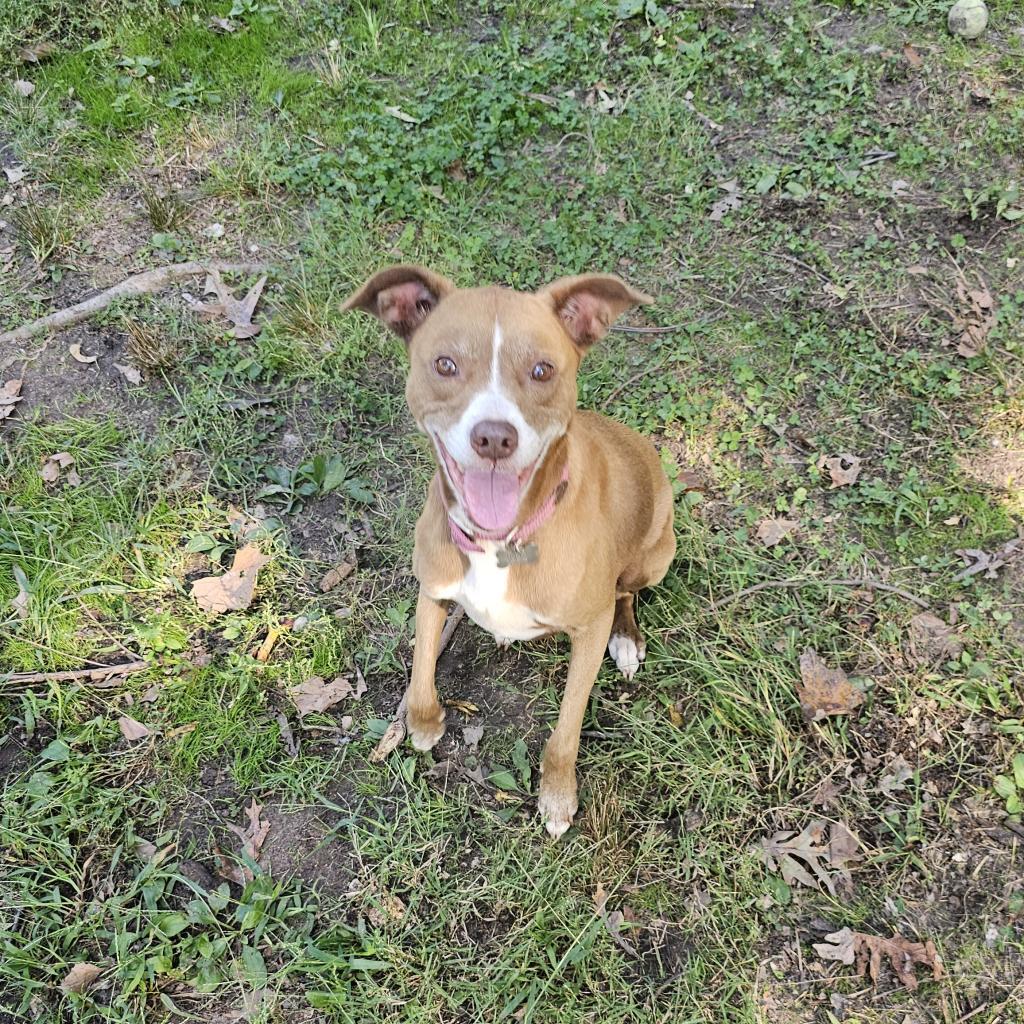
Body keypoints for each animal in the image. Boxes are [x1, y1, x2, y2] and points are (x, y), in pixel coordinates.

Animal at [344, 268, 675, 835]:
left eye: (542, 370)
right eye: (445, 364)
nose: (494, 438)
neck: (498, 542)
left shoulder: (588, 630)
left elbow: (566, 727)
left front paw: (558, 795)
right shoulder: (432, 589)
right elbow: (421, 666)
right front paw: (424, 723)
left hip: (652, 556)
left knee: (625, 594)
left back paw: (628, 639)